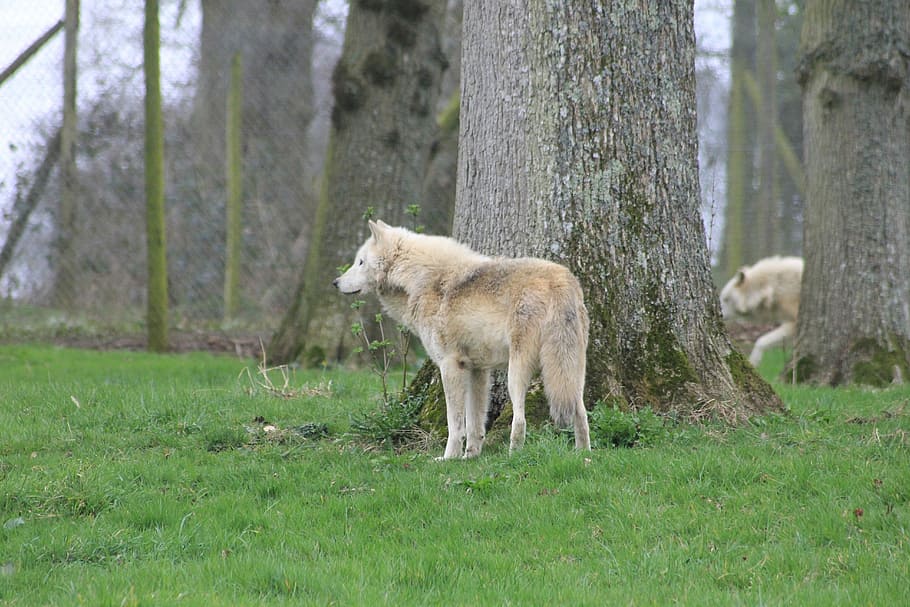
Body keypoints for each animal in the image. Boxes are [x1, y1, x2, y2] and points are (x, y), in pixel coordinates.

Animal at [333, 220, 591, 459]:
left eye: (360, 262)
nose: (335, 282)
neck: (420, 280)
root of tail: (560, 280)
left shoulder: (450, 366)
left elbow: (455, 424)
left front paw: (449, 458)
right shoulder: (478, 370)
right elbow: (475, 422)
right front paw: (470, 456)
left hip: (516, 372)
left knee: (519, 420)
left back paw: (513, 457)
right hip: (572, 373)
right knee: (580, 412)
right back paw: (583, 455)